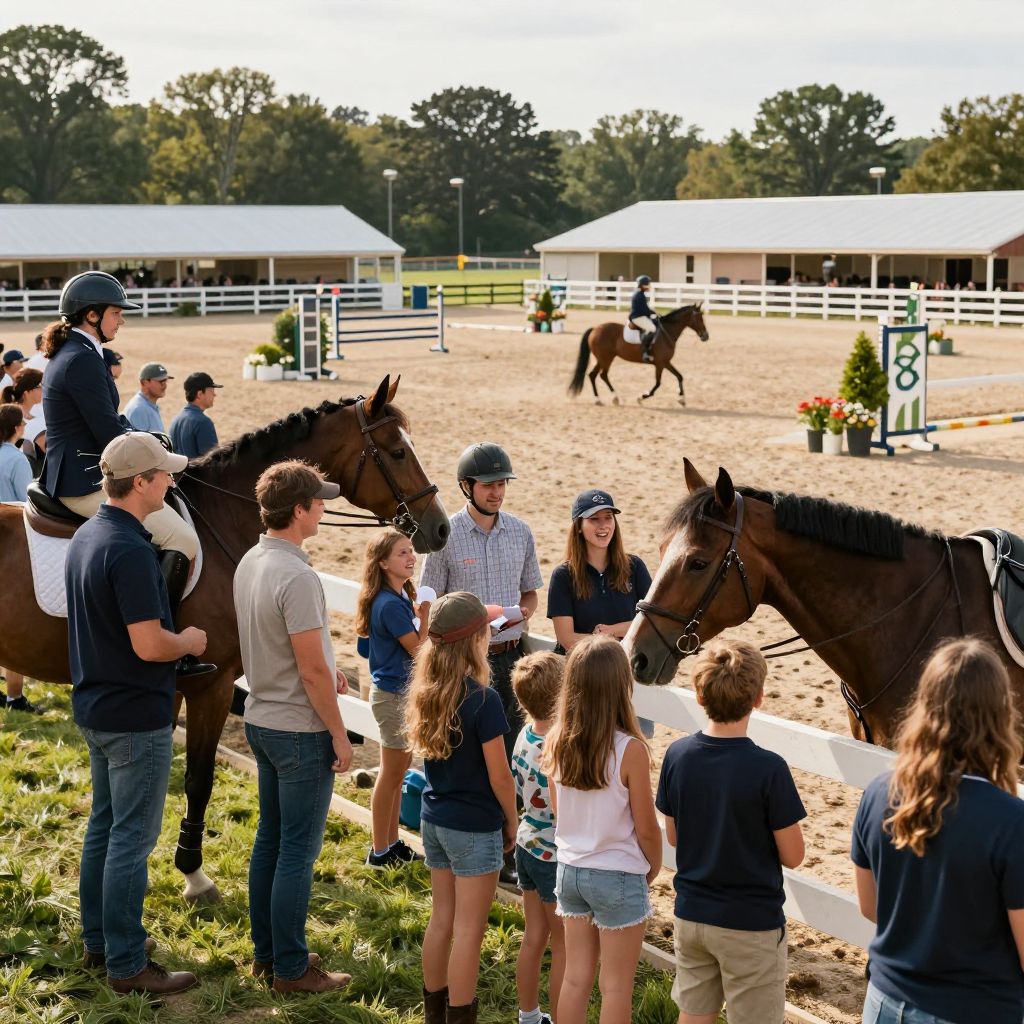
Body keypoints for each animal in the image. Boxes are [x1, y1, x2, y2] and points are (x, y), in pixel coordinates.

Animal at [0, 375, 450, 902]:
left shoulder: (168, 689)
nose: (440, 528)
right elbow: (198, 778)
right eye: (398, 452)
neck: (224, 519)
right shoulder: (209, 686)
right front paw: (193, 873)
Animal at [567, 304, 710, 405]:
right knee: (601, 375)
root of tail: (595, 329)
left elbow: (679, 376)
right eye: (699, 318)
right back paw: (610, 398)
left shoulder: (665, 362)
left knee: (594, 375)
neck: (666, 332)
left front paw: (682, 399)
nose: (705, 336)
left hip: (603, 359)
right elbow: (657, 383)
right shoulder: (660, 364)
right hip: (606, 359)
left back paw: (602, 399)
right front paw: (642, 397)